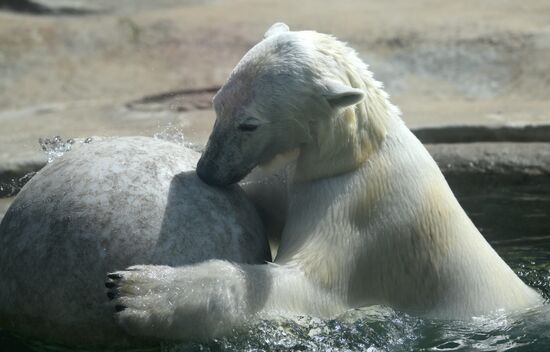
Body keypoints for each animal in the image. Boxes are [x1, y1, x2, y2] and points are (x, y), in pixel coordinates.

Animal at [106, 22, 544, 340]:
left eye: (249, 124)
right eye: (216, 105)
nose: (207, 170)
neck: (360, 151)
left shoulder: (359, 215)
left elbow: (310, 289)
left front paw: (136, 291)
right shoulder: (301, 177)